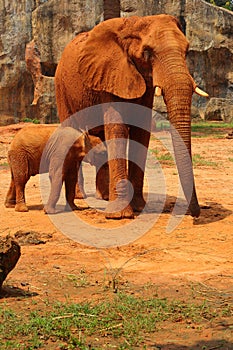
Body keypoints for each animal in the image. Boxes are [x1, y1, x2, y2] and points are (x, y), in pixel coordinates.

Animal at [55, 15, 208, 221]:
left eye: (187, 51)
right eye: (147, 52)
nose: (195, 214)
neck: (136, 22)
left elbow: (141, 131)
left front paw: (138, 207)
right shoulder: (110, 76)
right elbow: (117, 127)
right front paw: (120, 215)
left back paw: (104, 196)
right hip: (62, 89)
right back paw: (82, 196)